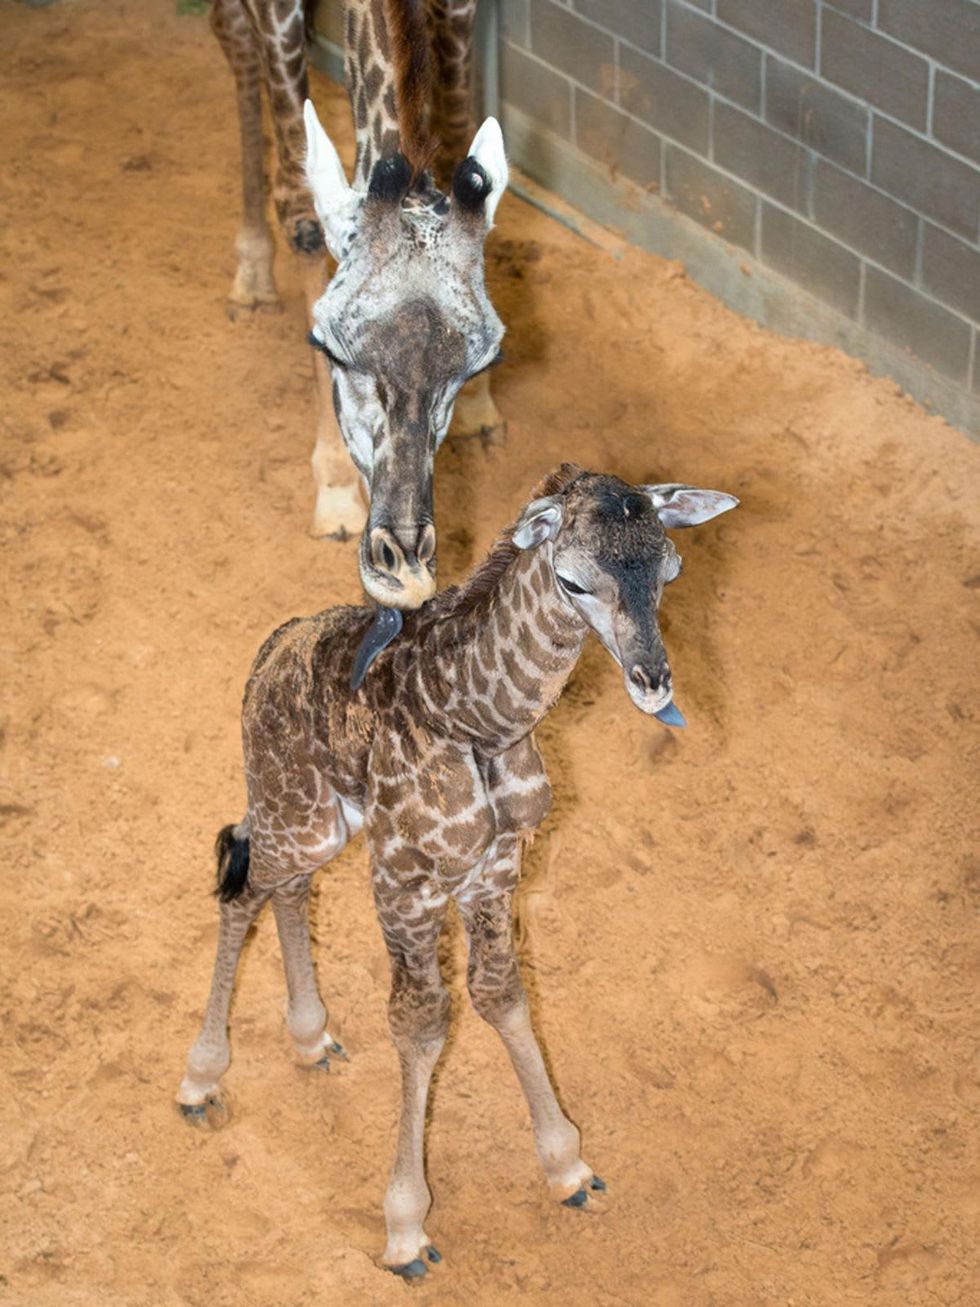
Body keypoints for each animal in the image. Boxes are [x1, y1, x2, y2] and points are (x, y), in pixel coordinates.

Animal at [176, 464, 738, 1277]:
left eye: (670, 569)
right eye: (574, 580)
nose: (653, 681)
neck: (477, 722)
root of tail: (267, 657)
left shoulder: (495, 869)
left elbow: (500, 993)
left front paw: (567, 1167)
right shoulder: (404, 881)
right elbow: (421, 1021)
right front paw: (406, 1228)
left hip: (324, 827)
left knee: (286, 888)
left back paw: (312, 1039)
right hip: (292, 810)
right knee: (243, 886)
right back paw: (200, 1078)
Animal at [210, 0, 506, 601]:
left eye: (480, 365)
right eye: (328, 348)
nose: (405, 572)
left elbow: (460, 134)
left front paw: (482, 409)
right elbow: (298, 207)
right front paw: (335, 489)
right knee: (232, 36)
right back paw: (251, 270)